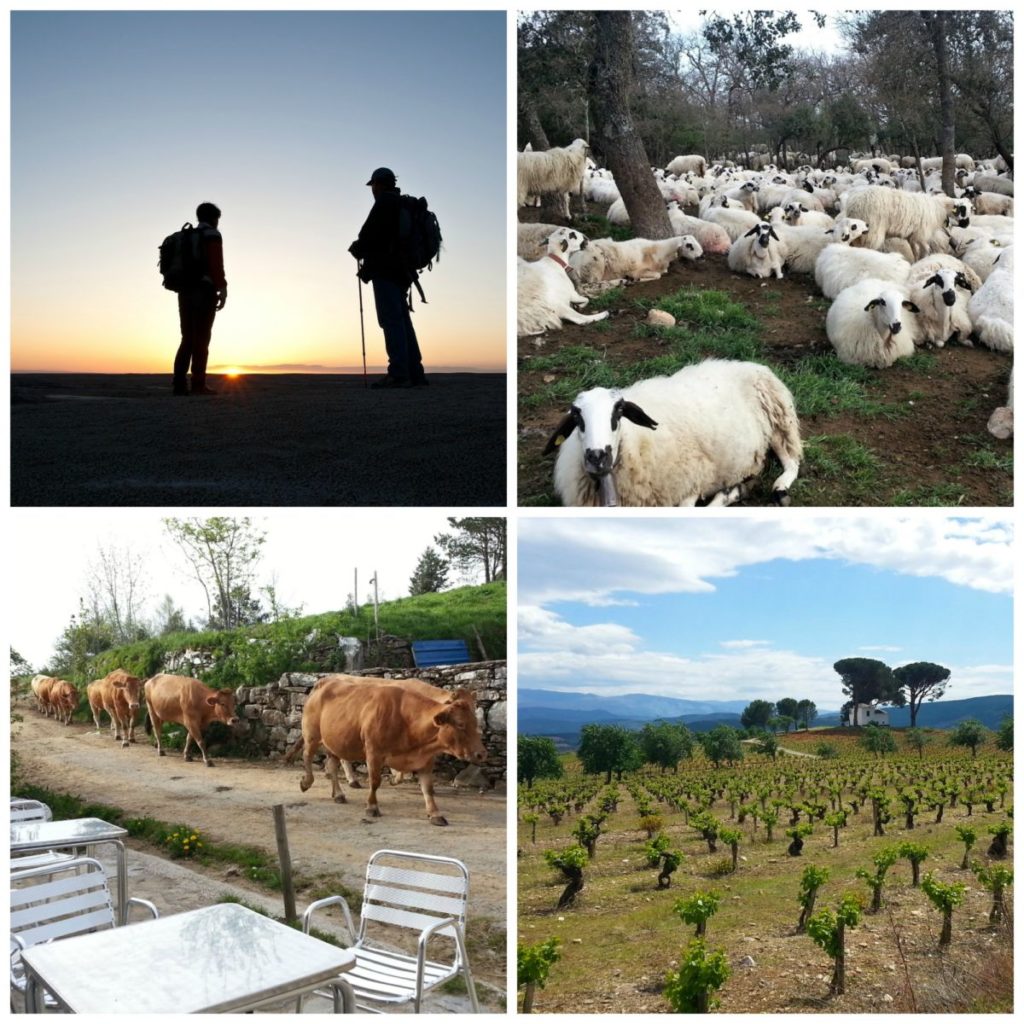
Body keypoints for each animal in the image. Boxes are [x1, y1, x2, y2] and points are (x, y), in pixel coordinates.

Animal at [282, 675, 485, 827]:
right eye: (460, 724)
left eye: (475, 721)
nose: (482, 754)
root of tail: (324, 682)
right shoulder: (373, 752)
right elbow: (375, 781)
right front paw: (372, 807)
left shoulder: (426, 759)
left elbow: (428, 788)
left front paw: (435, 814)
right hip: (311, 734)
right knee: (307, 757)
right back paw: (307, 782)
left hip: (335, 741)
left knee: (332, 765)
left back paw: (338, 794)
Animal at [540, 358, 802, 509]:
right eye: (577, 417)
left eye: (619, 412)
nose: (597, 456)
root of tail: (749, 364)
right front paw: (732, 492)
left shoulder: (692, 480)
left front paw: (730, 494)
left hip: (779, 419)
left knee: (792, 461)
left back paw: (779, 489)